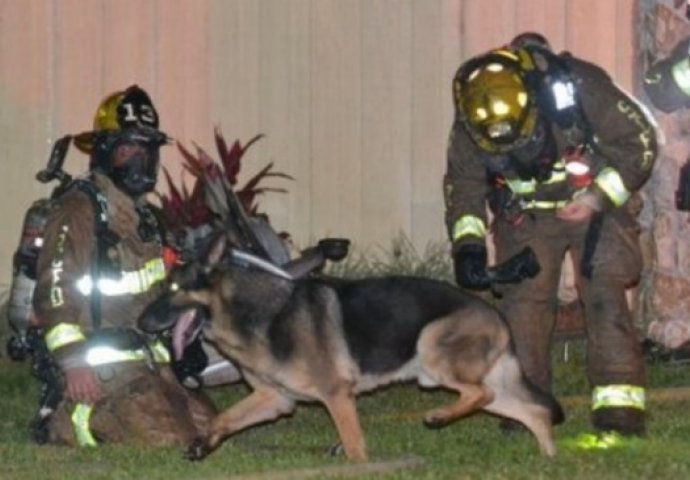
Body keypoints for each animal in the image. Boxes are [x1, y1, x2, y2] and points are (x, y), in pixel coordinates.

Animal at [137, 235, 560, 462]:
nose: (138, 324)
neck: (257, 314)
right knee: (533, 412)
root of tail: (496, 313)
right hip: (482, 383)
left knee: (481, 393)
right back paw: (549, 459)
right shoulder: (276, 399)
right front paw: (203, 442)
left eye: (173, 288)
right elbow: (223, 418)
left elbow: (355, 446)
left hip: (432, 350)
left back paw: (439, 416)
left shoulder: (336, 395)